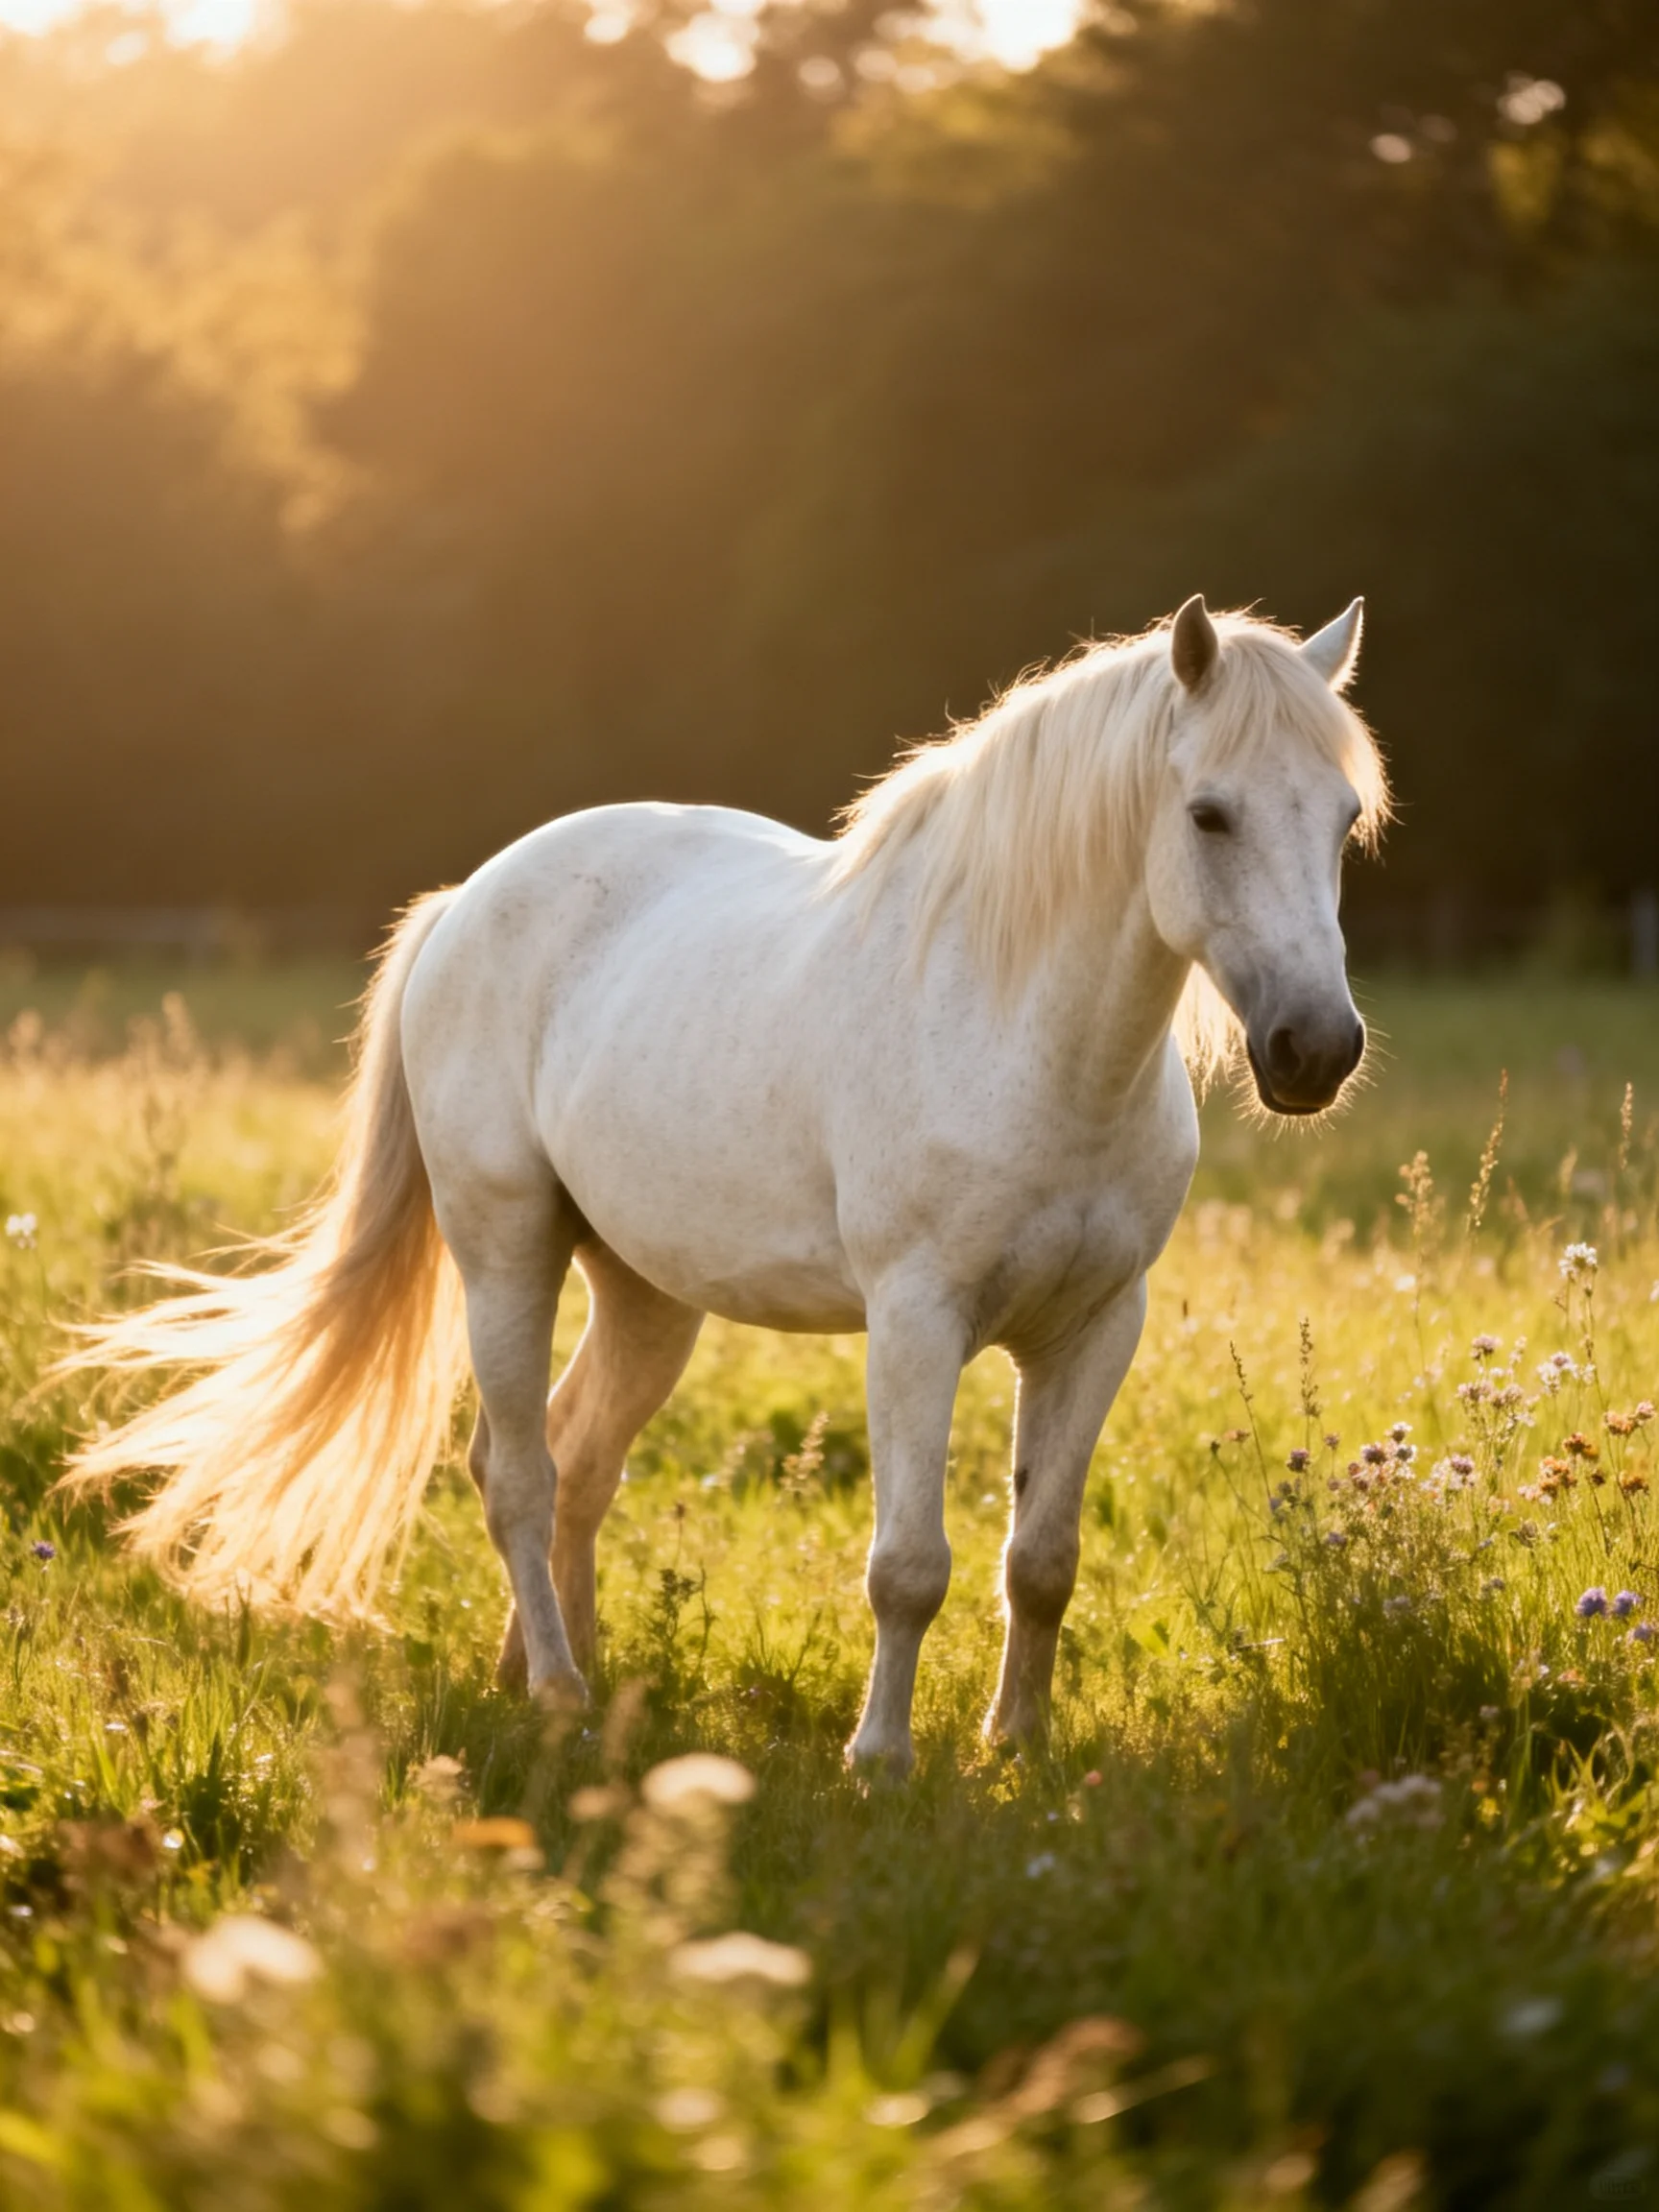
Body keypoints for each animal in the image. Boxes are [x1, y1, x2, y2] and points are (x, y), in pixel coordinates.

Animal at [65, 595, 1387, 1772]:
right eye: (1209, 815)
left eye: (1343, 820)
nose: (1315, 1052)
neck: (1026, 1033)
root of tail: (466, 901)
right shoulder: (917, 1321)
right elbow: (910, 1567)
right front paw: (882, 1760)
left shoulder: (1097, 1327)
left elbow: (1042, 1560)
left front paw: (1017, 1745)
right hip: (506, 1252)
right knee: (517, 1474)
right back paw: (556, 1693)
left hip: (648, 1295)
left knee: (579, 1459)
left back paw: (558, 1672)